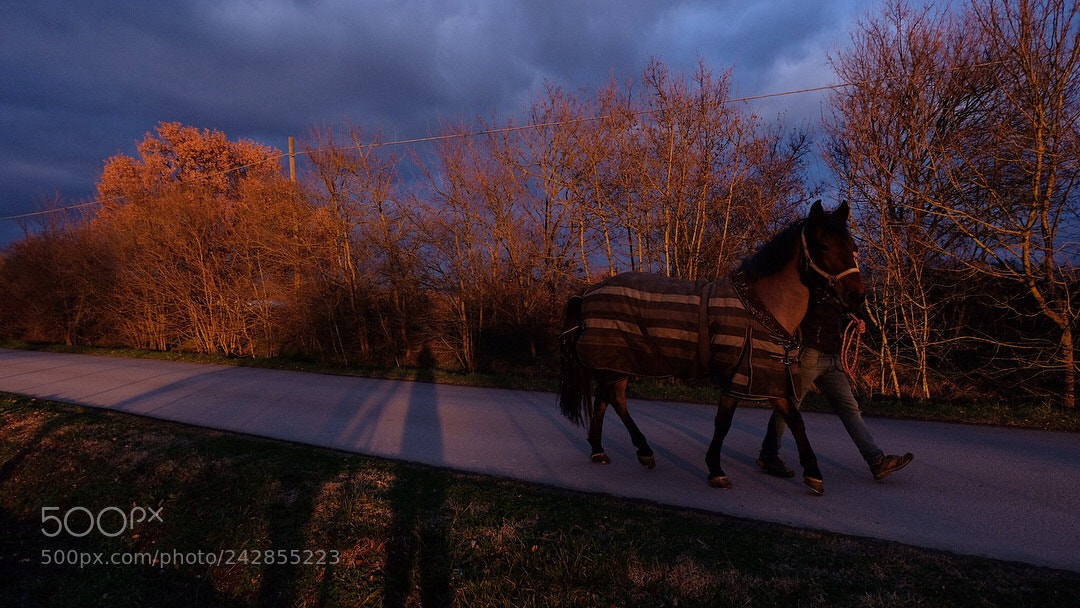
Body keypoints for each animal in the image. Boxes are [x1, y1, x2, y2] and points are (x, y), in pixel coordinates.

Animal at [557, 200, 864, 495]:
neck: (761, 308)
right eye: (823, 245)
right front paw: (716, 470)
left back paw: (598, 450)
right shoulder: (736, 375)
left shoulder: (768, 377)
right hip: (613, 362)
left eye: (853, 247)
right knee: (617, 401)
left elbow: (795, 420)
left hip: (614, 365)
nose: (857, 295)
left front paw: (813, 474)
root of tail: (586, 294)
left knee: (603, 400)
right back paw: (644, 452)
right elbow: (724, 422)